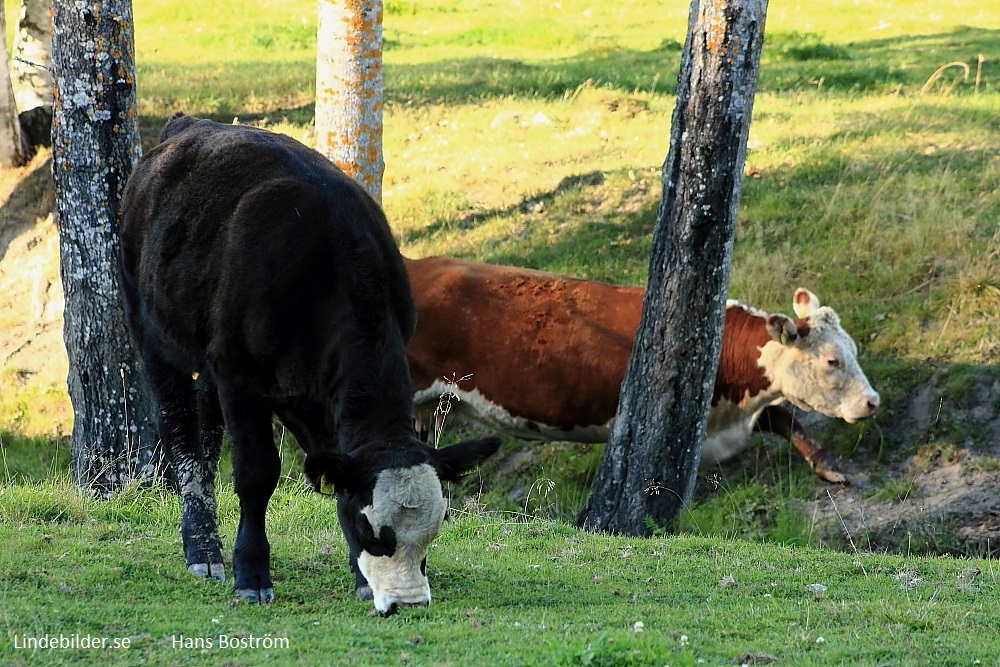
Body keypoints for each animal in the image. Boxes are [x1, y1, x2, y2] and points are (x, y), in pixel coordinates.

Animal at [119, 113, 500, 616]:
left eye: (432, 534)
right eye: (371, 530)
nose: (410, 603)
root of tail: (188, 125)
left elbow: (335, 471)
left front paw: (359, 579)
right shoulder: (240, 375)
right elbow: (257, 473)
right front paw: (251, 574)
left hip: (209, 356)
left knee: (206, 431)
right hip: (153, 334)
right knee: (180, 432)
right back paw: (202, 549)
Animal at [402, 254, 880, 480]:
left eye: (852, 349)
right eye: (832, 360)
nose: (873, 401)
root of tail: (417, 264)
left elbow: (783, 417)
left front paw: (829, 467)